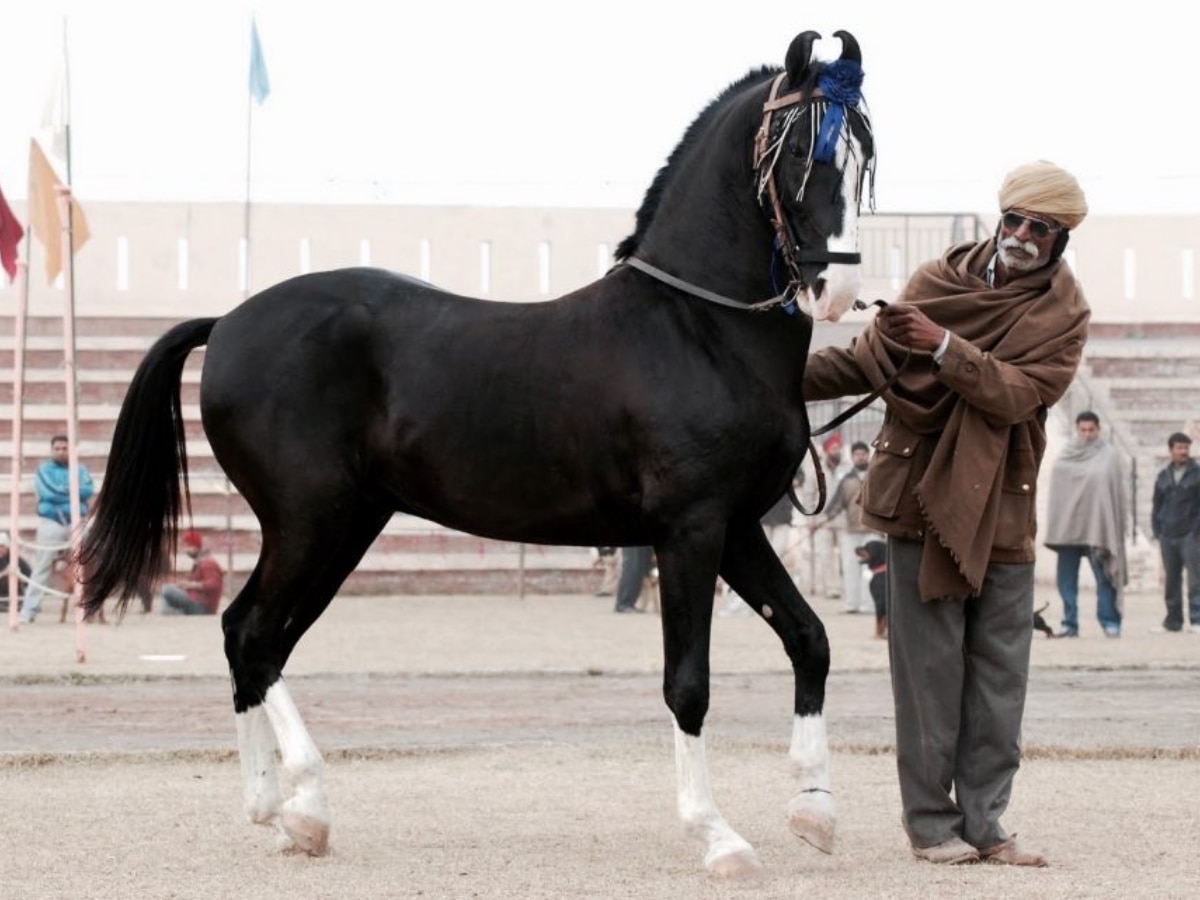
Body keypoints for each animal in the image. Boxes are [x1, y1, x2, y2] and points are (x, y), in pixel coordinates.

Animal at [82, 30, 873, 883]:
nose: (834, 289)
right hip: (310, 524)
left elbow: (809, 639)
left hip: (338, 529)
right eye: (796, 147)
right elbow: (688, 685)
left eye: (861, 152)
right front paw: (718, 836)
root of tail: (226, 321)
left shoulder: (738, 527)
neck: (699, 327)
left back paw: (276, 811)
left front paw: (816, 811)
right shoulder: (689, 530)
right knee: (257, 637)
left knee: (247, 635)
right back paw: (305, 806)